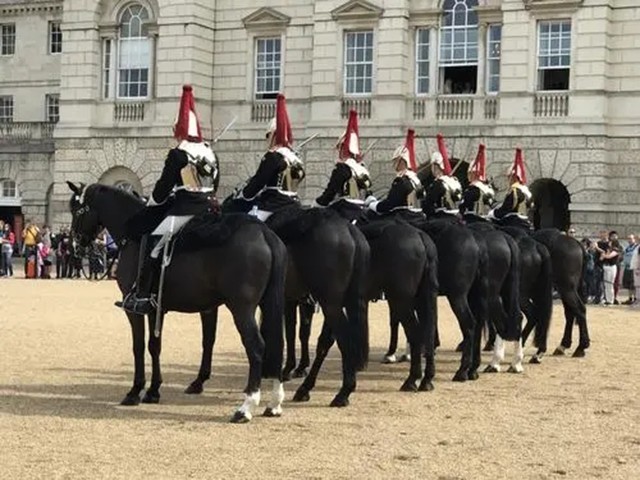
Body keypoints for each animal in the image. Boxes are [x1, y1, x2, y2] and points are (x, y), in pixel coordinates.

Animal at [66, 182, 286, 422]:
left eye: (77, 210)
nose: (75, 247)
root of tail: (265, 233)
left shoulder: (134, 309)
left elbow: (138, 346)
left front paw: (135, 391)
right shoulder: (158, 308)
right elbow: (156, 346)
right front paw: (153, 391)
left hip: (242, 309)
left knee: (256, 347)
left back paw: (246, 407)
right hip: (267, 304)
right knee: (276, 345)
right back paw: (274, 403)